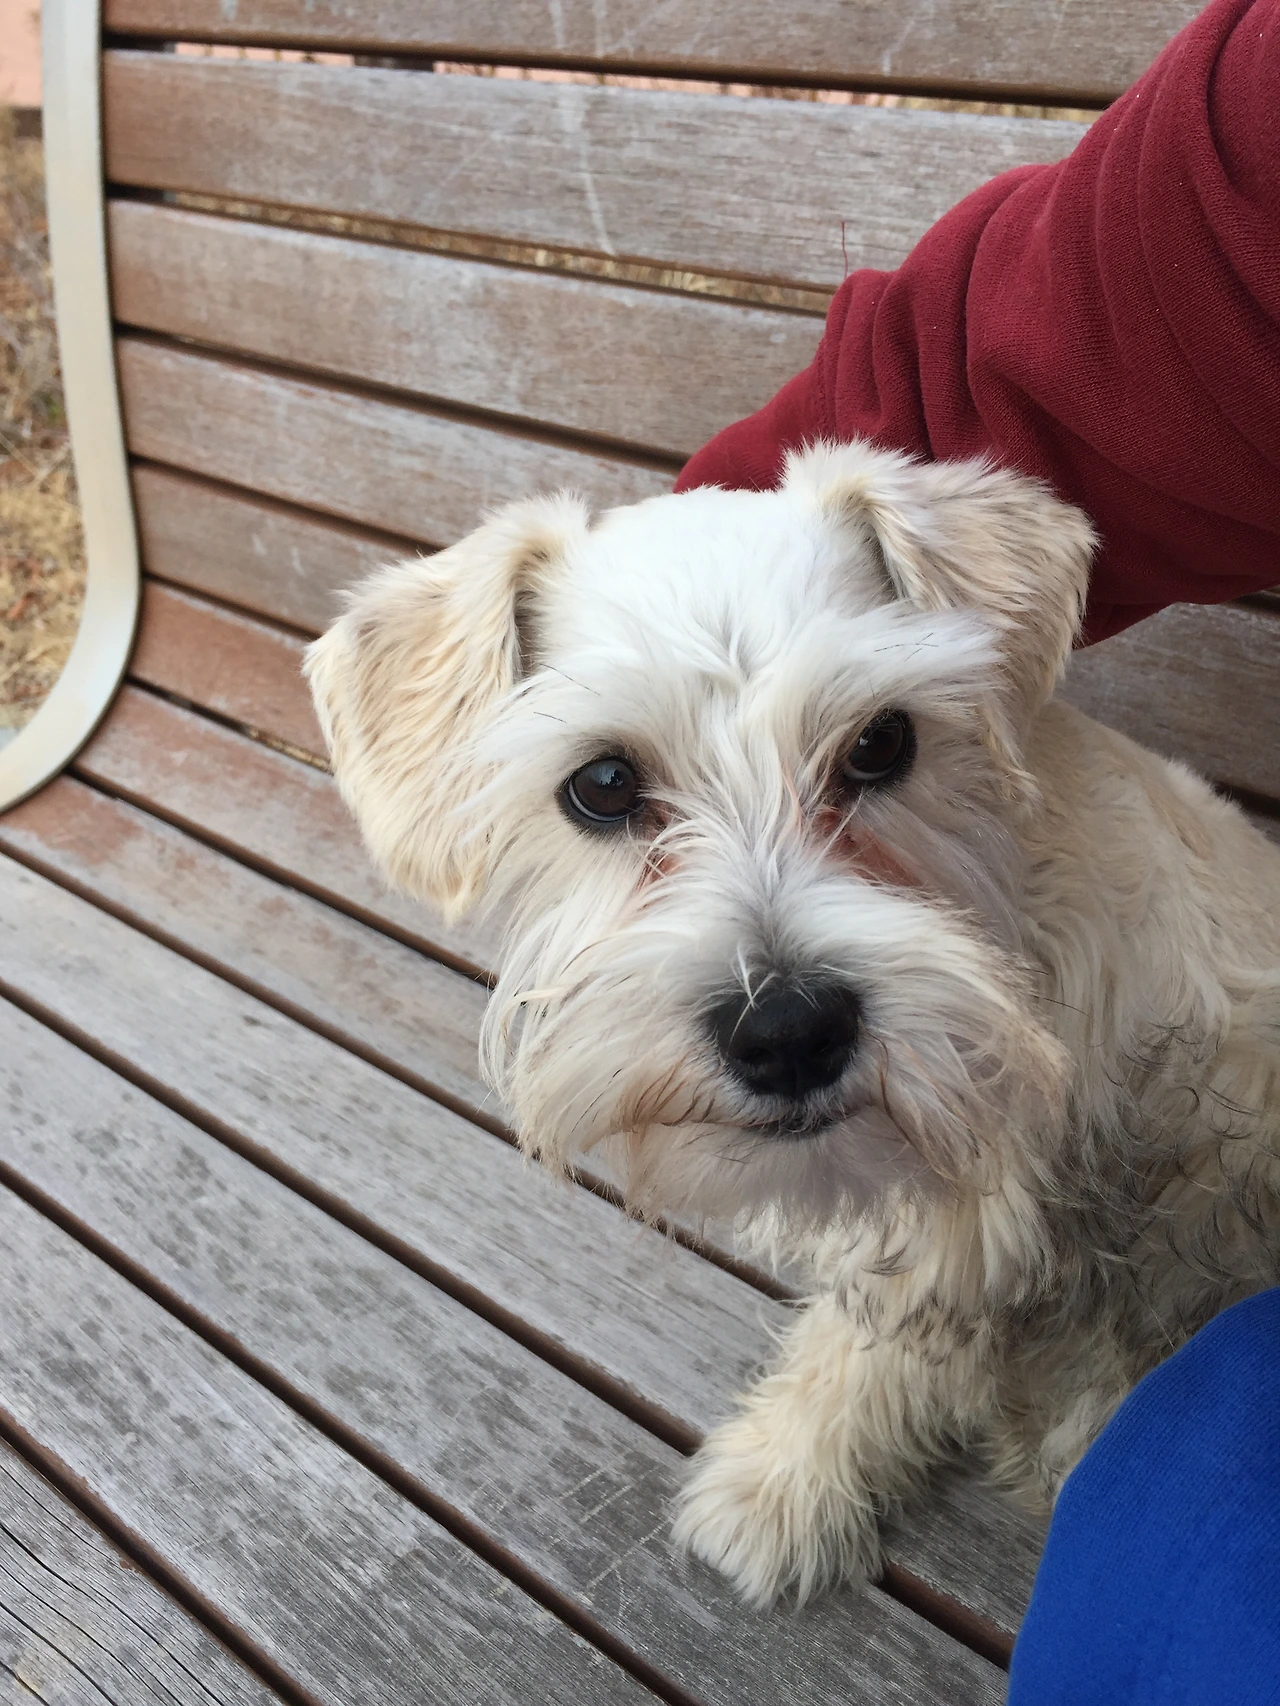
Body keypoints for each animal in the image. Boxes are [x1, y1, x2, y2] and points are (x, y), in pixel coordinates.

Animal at [306, 440, 1280, 1607]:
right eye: (602, 782)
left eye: (880, 740)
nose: (789, 1034)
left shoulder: (968, 1206)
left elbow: (864, 1351)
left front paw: (781, 1484)